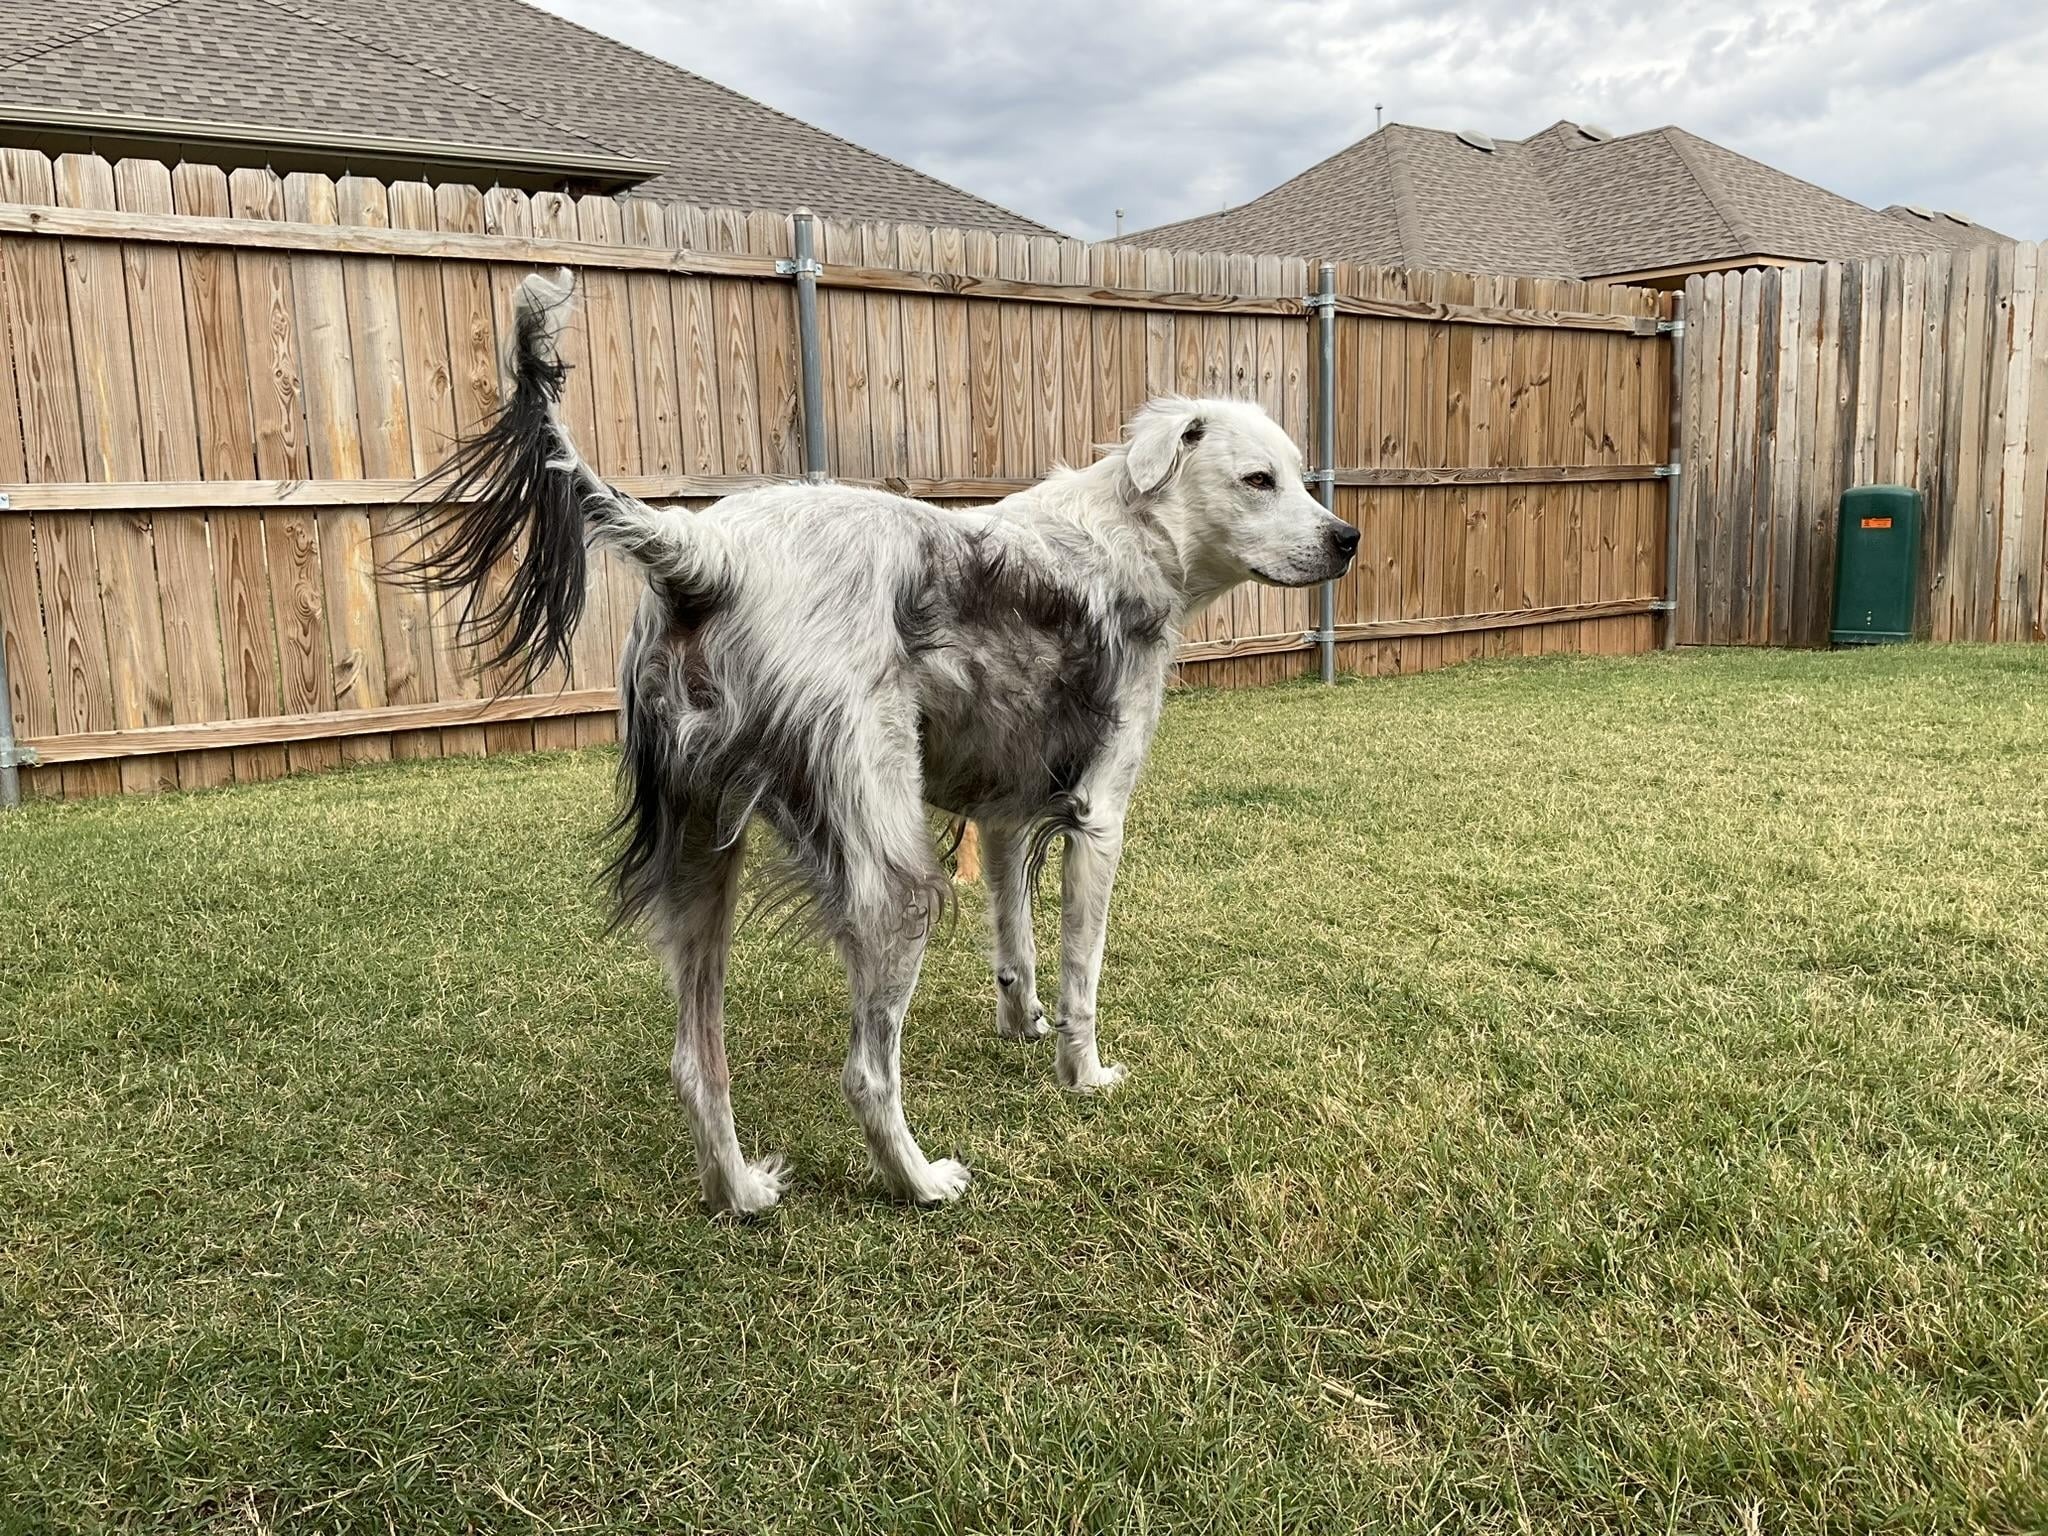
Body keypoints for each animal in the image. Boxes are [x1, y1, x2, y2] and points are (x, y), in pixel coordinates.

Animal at [403, 274, 1359, 1212]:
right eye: (1259, 480)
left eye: (1299, 476)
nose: (1346, 539)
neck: (1128, 531)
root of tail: (707, 550)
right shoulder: (1100, 818)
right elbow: (1081, 974)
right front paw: (1081, 1074)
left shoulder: (1002, 819)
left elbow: (1015, 948)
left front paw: (1022, 1027)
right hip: (896, 883)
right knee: (865, 1072)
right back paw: (920, 1182)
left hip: (702, 862)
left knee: (695, 1064)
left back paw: (740, 1192)